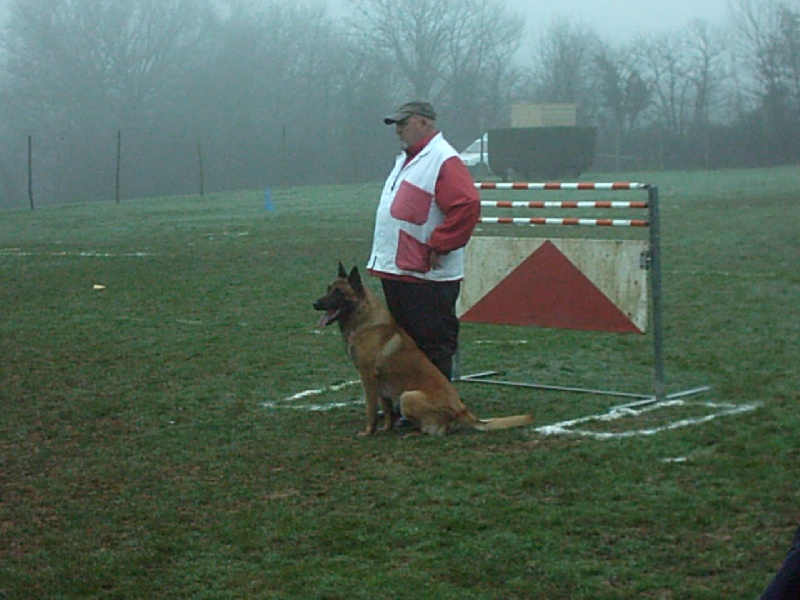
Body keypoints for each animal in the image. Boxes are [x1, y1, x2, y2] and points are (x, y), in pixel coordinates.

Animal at [312, 264, 532, 436]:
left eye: (338, 293)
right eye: (328, 289)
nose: (314, 303)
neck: (365, 321)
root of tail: (462, 411)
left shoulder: (368, 378)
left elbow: (370, 410)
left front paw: (368, 431)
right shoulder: (380, 384)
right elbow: (386, 409)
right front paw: (386, 428)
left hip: (407, 396)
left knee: (434, 430)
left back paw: (414, 432)